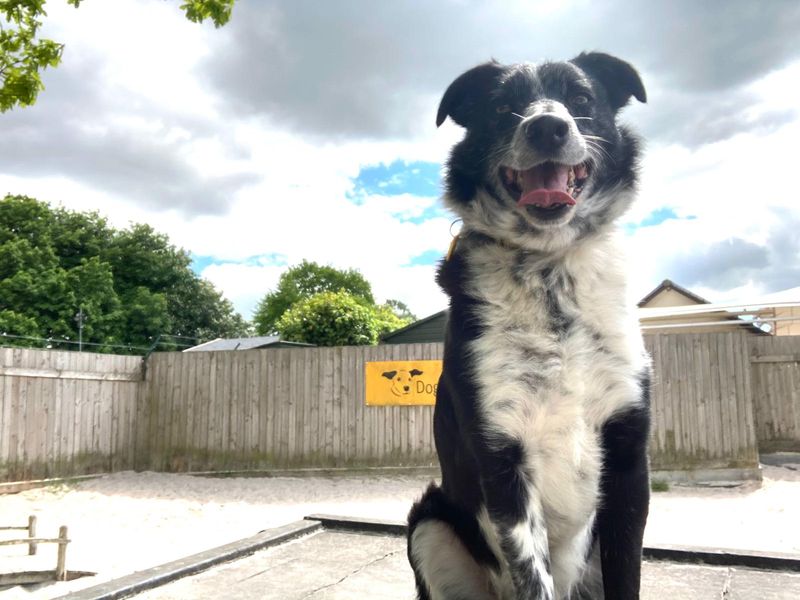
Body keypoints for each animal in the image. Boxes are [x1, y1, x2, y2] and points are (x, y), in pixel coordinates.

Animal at [410, 54, 652, 596]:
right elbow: (531, 572)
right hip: (428, 523)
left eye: (581, 98)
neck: (549, 268)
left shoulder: (628, 455)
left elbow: (626, 574)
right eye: (502, 107)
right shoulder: (504, 461)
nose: (546, 127)